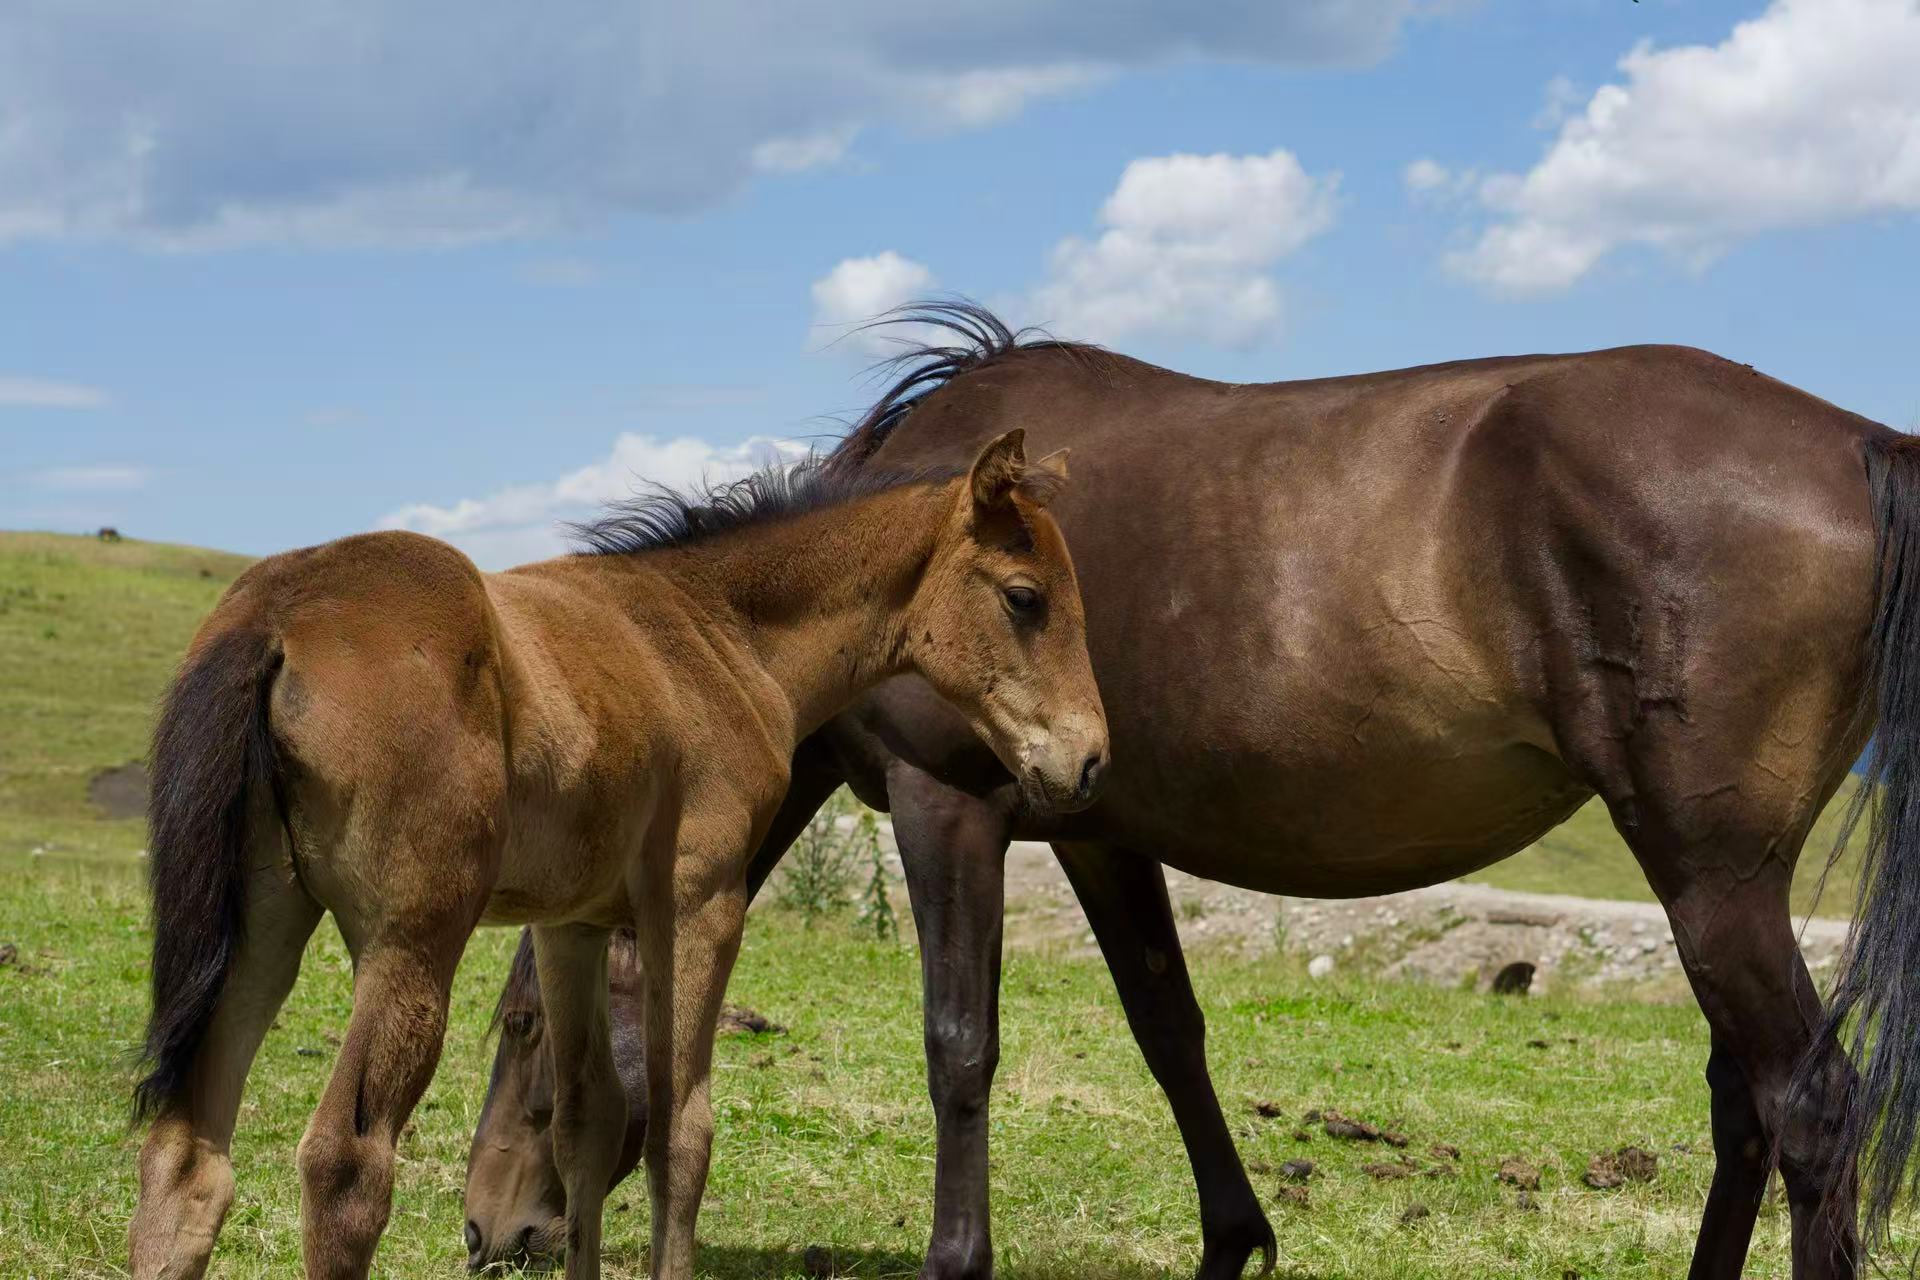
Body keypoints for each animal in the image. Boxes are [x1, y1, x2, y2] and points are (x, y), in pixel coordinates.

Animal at [127, 429, 1109, 1280]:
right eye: (1025, 597)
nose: (1091, 760)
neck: (718, 635)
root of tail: (278, 616)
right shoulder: (700, 904)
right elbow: (682, 1126)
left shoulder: (574, 926)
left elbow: (587, 1122)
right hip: (410, 941)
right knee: (346, 1162)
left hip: (260, 929)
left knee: (186, 1159)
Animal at [465, 304, 1920, 1280]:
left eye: (520, 1026)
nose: (488, 1226)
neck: (905, 564)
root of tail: (1861, 439)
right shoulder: (1100, 831)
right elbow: (1172, 1033)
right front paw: (1234, 1240)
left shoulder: (952, 807)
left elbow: (959, 1043)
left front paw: (955, 1256)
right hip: (1716, 885)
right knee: (1747, 1110)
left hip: (1710, 878)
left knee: (1811, 1111)